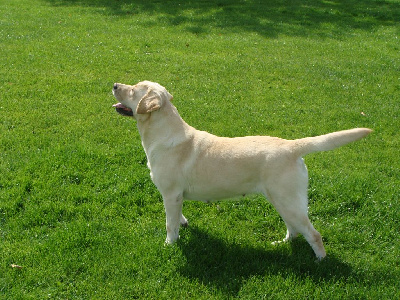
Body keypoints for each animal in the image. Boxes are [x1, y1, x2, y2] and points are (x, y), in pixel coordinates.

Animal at [111, 81, 370, 258]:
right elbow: (178, 218)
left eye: (133, 90)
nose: (114, 85)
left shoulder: (171, 194)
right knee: (294, 229)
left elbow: (169, 224)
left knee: (313, 234)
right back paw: (282, 244)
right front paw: (183, 225)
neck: (162, 132)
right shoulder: (175, 197)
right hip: (282, 200)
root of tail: (292, 146)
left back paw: (321, 262)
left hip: (288, 201)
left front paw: (169, 245)